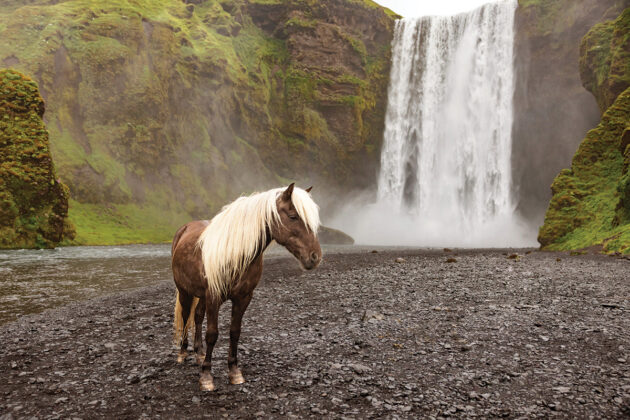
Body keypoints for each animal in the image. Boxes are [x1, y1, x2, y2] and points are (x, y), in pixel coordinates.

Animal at [172, 183, 324, 390]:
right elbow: (212, 334)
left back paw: (199, 354)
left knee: (197, 317)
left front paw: (234, 372)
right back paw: (182, 354)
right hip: (185, 291)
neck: (236, 253)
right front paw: (206, 377)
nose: (315, 256)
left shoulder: (243, 298)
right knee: (186, 317)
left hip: (201, 296)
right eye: (293, 216)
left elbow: (235, 332)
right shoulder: (214, 297)